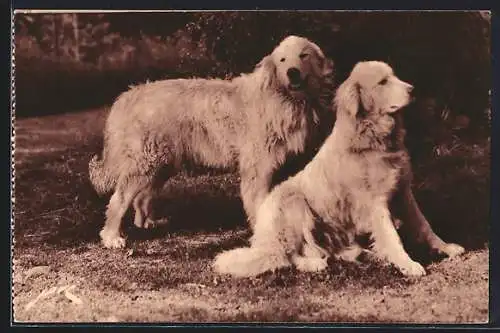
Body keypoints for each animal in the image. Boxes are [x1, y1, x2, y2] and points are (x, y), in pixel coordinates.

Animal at [91, 37, 332, 249]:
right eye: (282, 60)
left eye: (303, 55)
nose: (293, 72)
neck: (281, 98)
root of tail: (131, 93)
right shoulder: (258, 169)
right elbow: (259, 204)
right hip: (146, 162)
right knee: (119, 199)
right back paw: (112, 237)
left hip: (161, 164)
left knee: (141, 197)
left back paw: (146, 223)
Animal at [213, 61, 428, 276]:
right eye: (383, 82)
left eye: (394, 76)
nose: (413, 89)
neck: (372, 137)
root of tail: (264, 241)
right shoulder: (377, 203)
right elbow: (392, 237)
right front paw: (408, 263)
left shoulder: (404, 191)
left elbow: (423, 224)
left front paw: (437, 246)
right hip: (294, 204)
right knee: (288, 256)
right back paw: (314, 264)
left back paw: (361, 254)